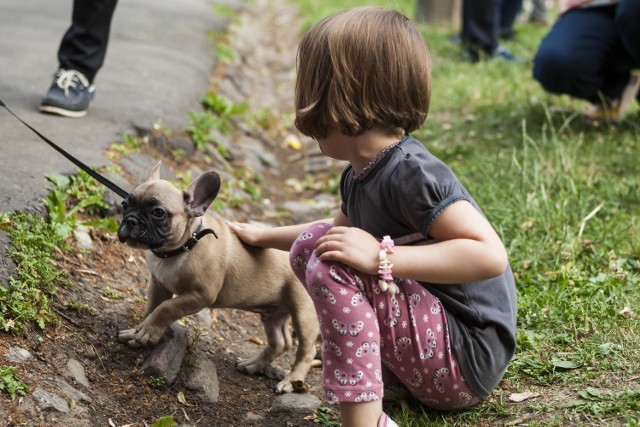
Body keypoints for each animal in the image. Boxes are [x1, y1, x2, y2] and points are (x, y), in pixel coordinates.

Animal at [116, 163, 318, 394]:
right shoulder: (158, 286)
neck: (184, 247)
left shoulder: (200, 296)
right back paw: (253, 365)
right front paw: (137, 332)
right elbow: (151, 309)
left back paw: (291, 381)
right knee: (280, 343)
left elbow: (165, 309)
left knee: (306, 351)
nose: (130, 220)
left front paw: (147, 331)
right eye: (125, 204)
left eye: (158, 213)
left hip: (304, 313)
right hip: (273, 313)